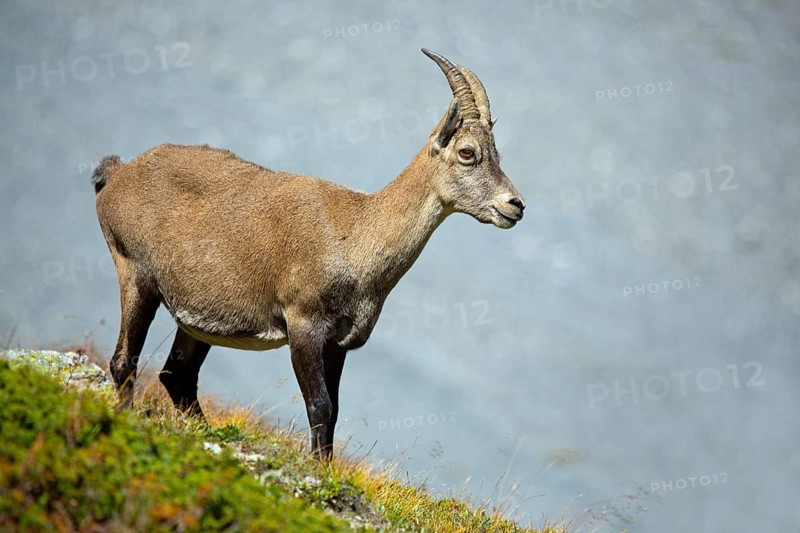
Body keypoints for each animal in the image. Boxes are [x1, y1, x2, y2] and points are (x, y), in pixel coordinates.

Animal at [93, 49, 525, 459]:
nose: (515, 205)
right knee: (124, 361)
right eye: (467, 152)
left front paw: (324, 467)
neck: (356, 235)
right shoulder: (303, 326)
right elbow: (319, 406)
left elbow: (334, 411)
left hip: (197, 319)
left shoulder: (338, 343)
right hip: (136, 274)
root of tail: (118, 174)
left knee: (177, 375)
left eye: (497, 153)